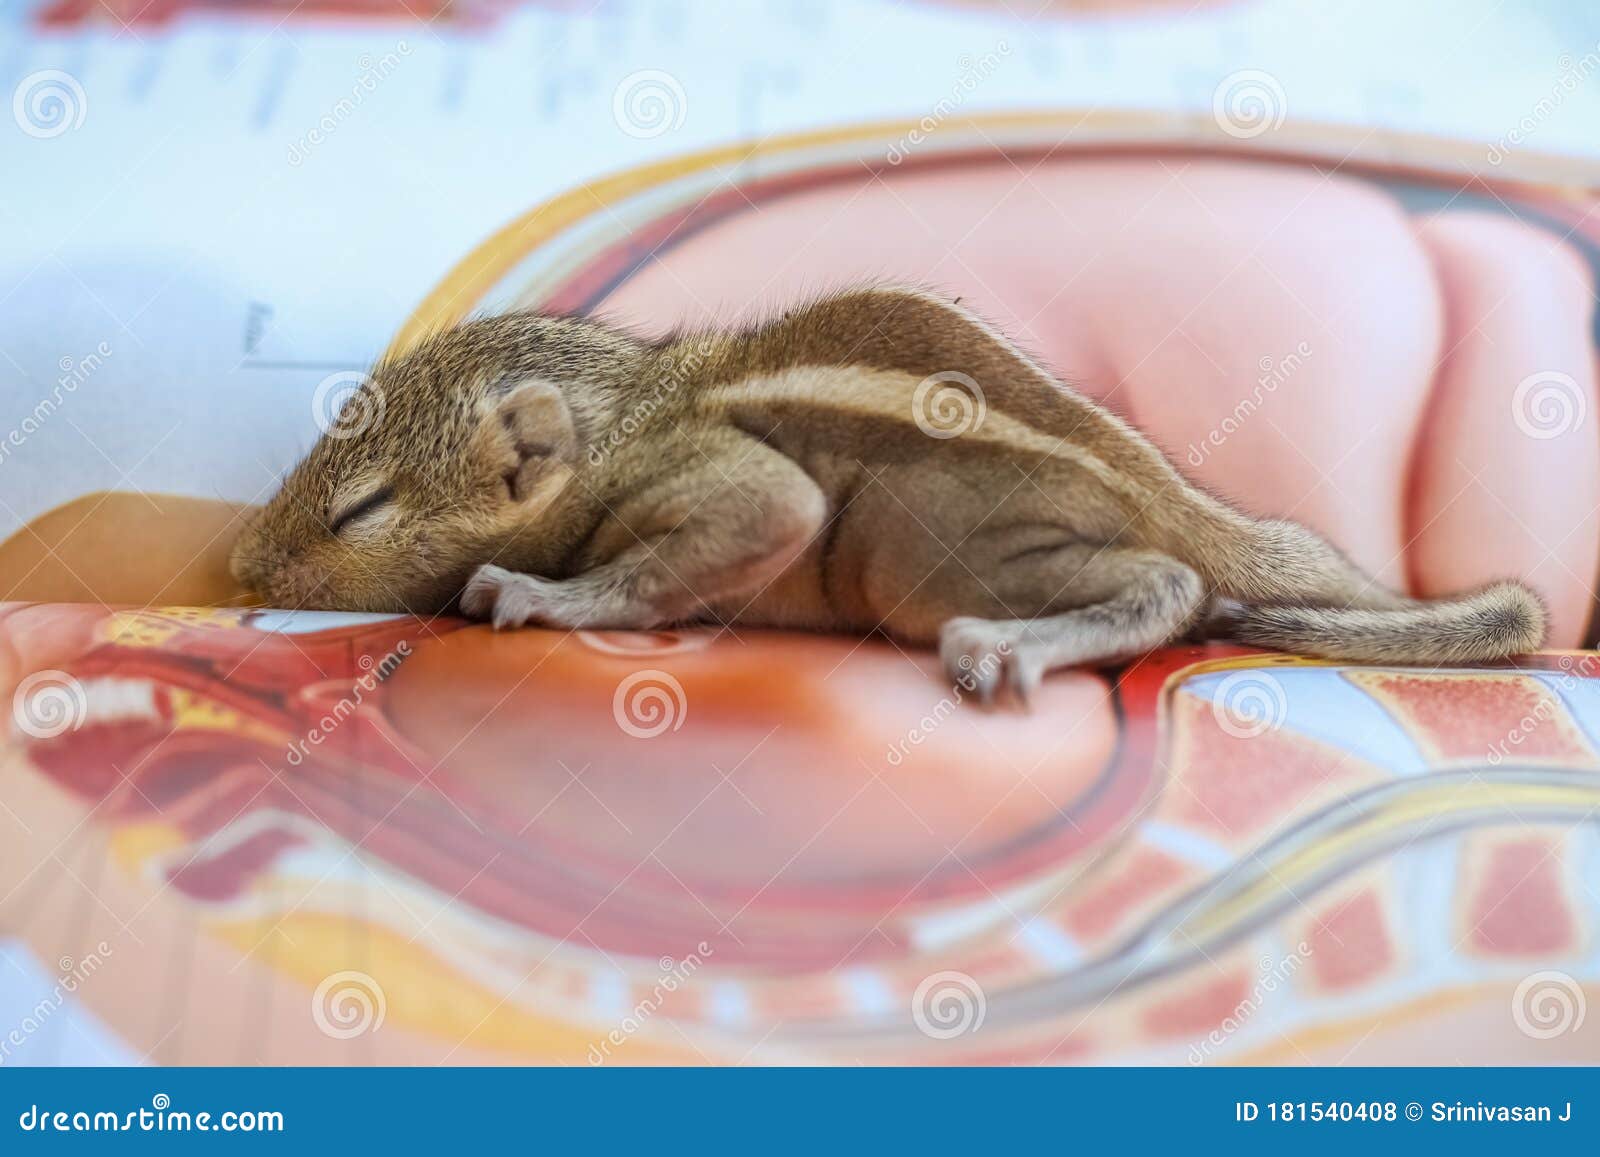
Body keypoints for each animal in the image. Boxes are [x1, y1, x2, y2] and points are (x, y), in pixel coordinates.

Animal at [230, 286, 1546, 702]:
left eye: (359, 512)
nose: (238, 568)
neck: (630, 411)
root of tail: (1185, 506)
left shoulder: (712, 480)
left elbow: (756, 518)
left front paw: (548, 596)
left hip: (954, 552)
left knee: (1168, 585)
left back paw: (1015, 647)